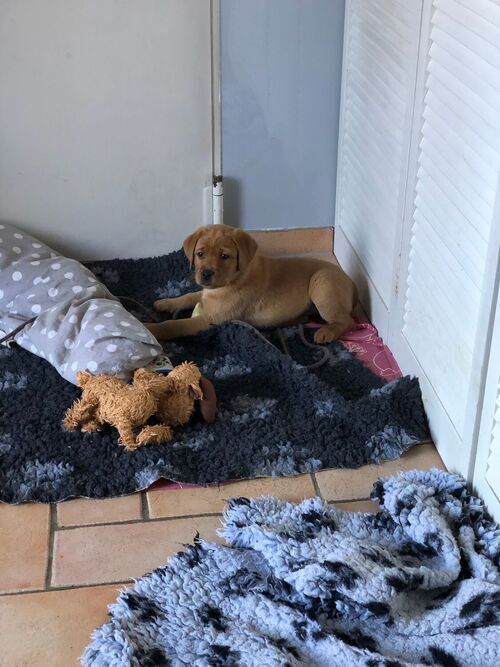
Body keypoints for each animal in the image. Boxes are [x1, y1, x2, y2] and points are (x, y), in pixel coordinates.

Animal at [145, 224, 357, 344]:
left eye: (224, 256)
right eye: (200, 254)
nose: (205, 274)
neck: (233, 279)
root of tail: (350, 281)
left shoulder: (210, 319)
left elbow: (175, 324)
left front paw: (151, 329)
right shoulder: (205, 293)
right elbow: (188, 296)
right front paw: (165, 302)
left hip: (323, 283)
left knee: (347, 320)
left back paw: (326, 332)